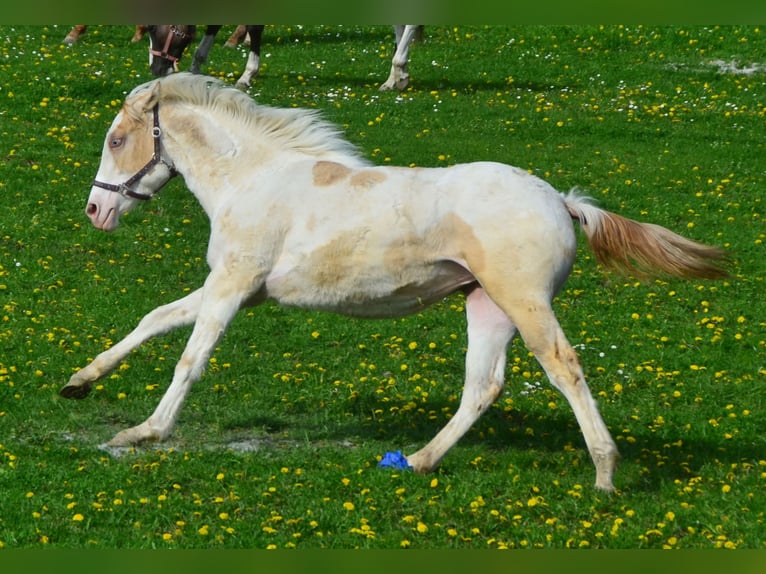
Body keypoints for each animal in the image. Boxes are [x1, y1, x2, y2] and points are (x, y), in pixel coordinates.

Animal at [60, 73, 728, 491]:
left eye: (117, 139)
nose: (96, 211)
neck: (253, 180)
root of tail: (562, 202)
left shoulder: (231, 288)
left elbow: (190, 358)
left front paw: (144, 432)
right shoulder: (235, 287)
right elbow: (153, 320)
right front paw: (79, 384)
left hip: (524, 303)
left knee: (564, 368)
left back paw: (605, 476)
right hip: (486, 306)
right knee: (482, 386)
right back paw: (416, 461)